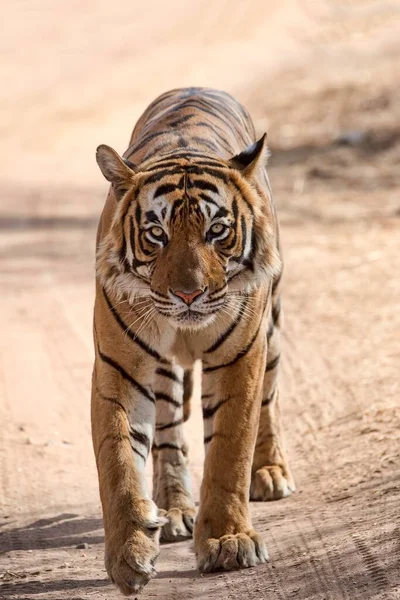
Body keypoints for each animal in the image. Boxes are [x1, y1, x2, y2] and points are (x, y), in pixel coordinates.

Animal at [92, 88, 296, 596]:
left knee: (269, 403)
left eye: (216, 231)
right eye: (156, 234)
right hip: (162, 371)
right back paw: (175, 509)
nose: (189, 294)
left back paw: (270, 474)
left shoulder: (241, 357)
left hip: (272, 328)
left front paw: (229, 542)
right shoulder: (119, 369)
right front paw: (129, 555)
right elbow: (118, 461)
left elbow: (229, 449)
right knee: (168, 435)